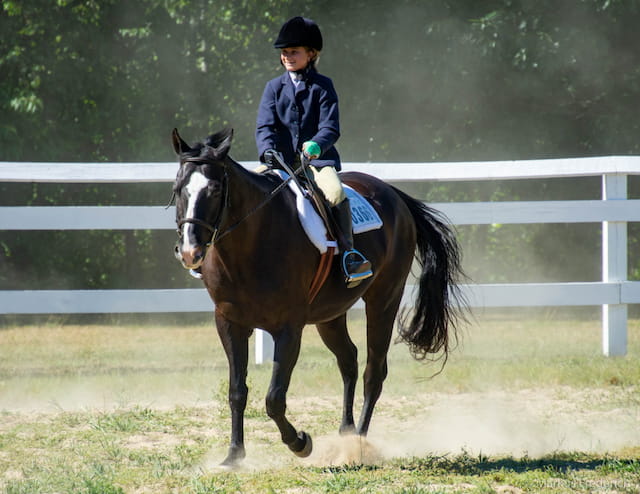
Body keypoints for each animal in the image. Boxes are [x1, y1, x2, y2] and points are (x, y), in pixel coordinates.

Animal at [171, 128, 467, 467]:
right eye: (178, 189)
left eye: (216, 189)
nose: (190, 252)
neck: (251, 245)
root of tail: (392, 193)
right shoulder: (229, 323)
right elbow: (236, 391)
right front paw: (234, 456)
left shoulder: (289, 328)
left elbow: (274, 398)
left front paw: (300, 442)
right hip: (330, 316)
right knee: (349, 360)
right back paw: (346, 433)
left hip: (384, 300)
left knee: (373, 372)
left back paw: (359, 443)